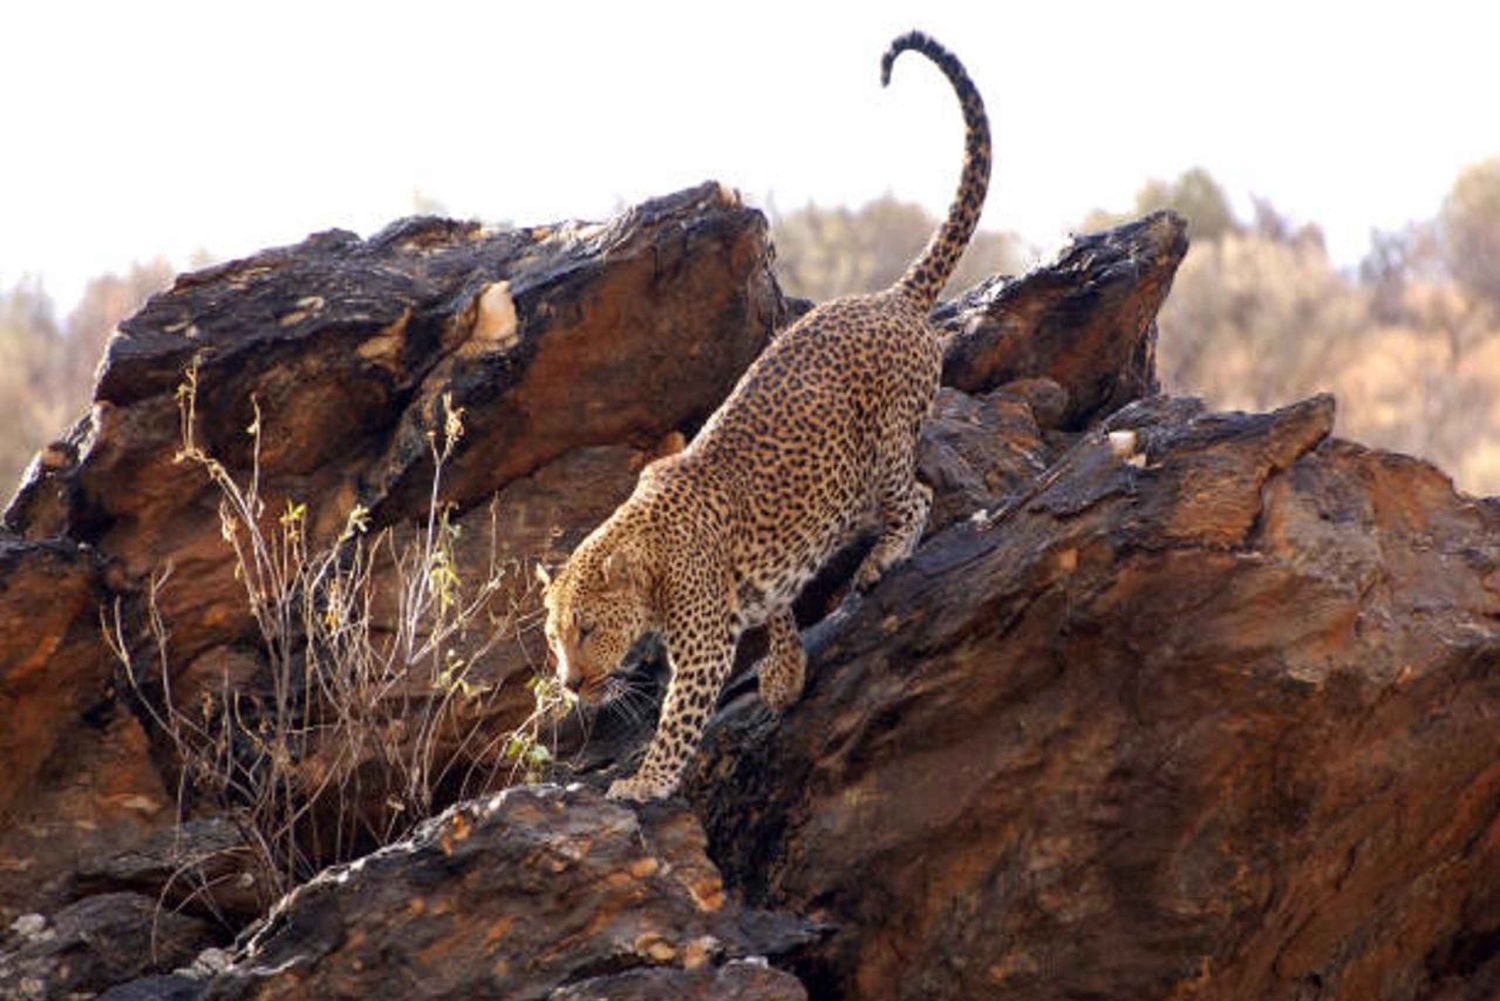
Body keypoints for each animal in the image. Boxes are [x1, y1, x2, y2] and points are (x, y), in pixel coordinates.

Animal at [539, 30, 992, 802]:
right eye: (553, 637)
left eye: (590, 630)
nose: (570, 685)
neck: (648, 557)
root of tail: (890, 299)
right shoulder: (754, 585)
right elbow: (775, 601)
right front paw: (784, 673)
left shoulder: (703, 646)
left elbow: (677, 721)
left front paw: (644, 783)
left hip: (885, 450)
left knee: (917, 496)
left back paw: (882, 558)